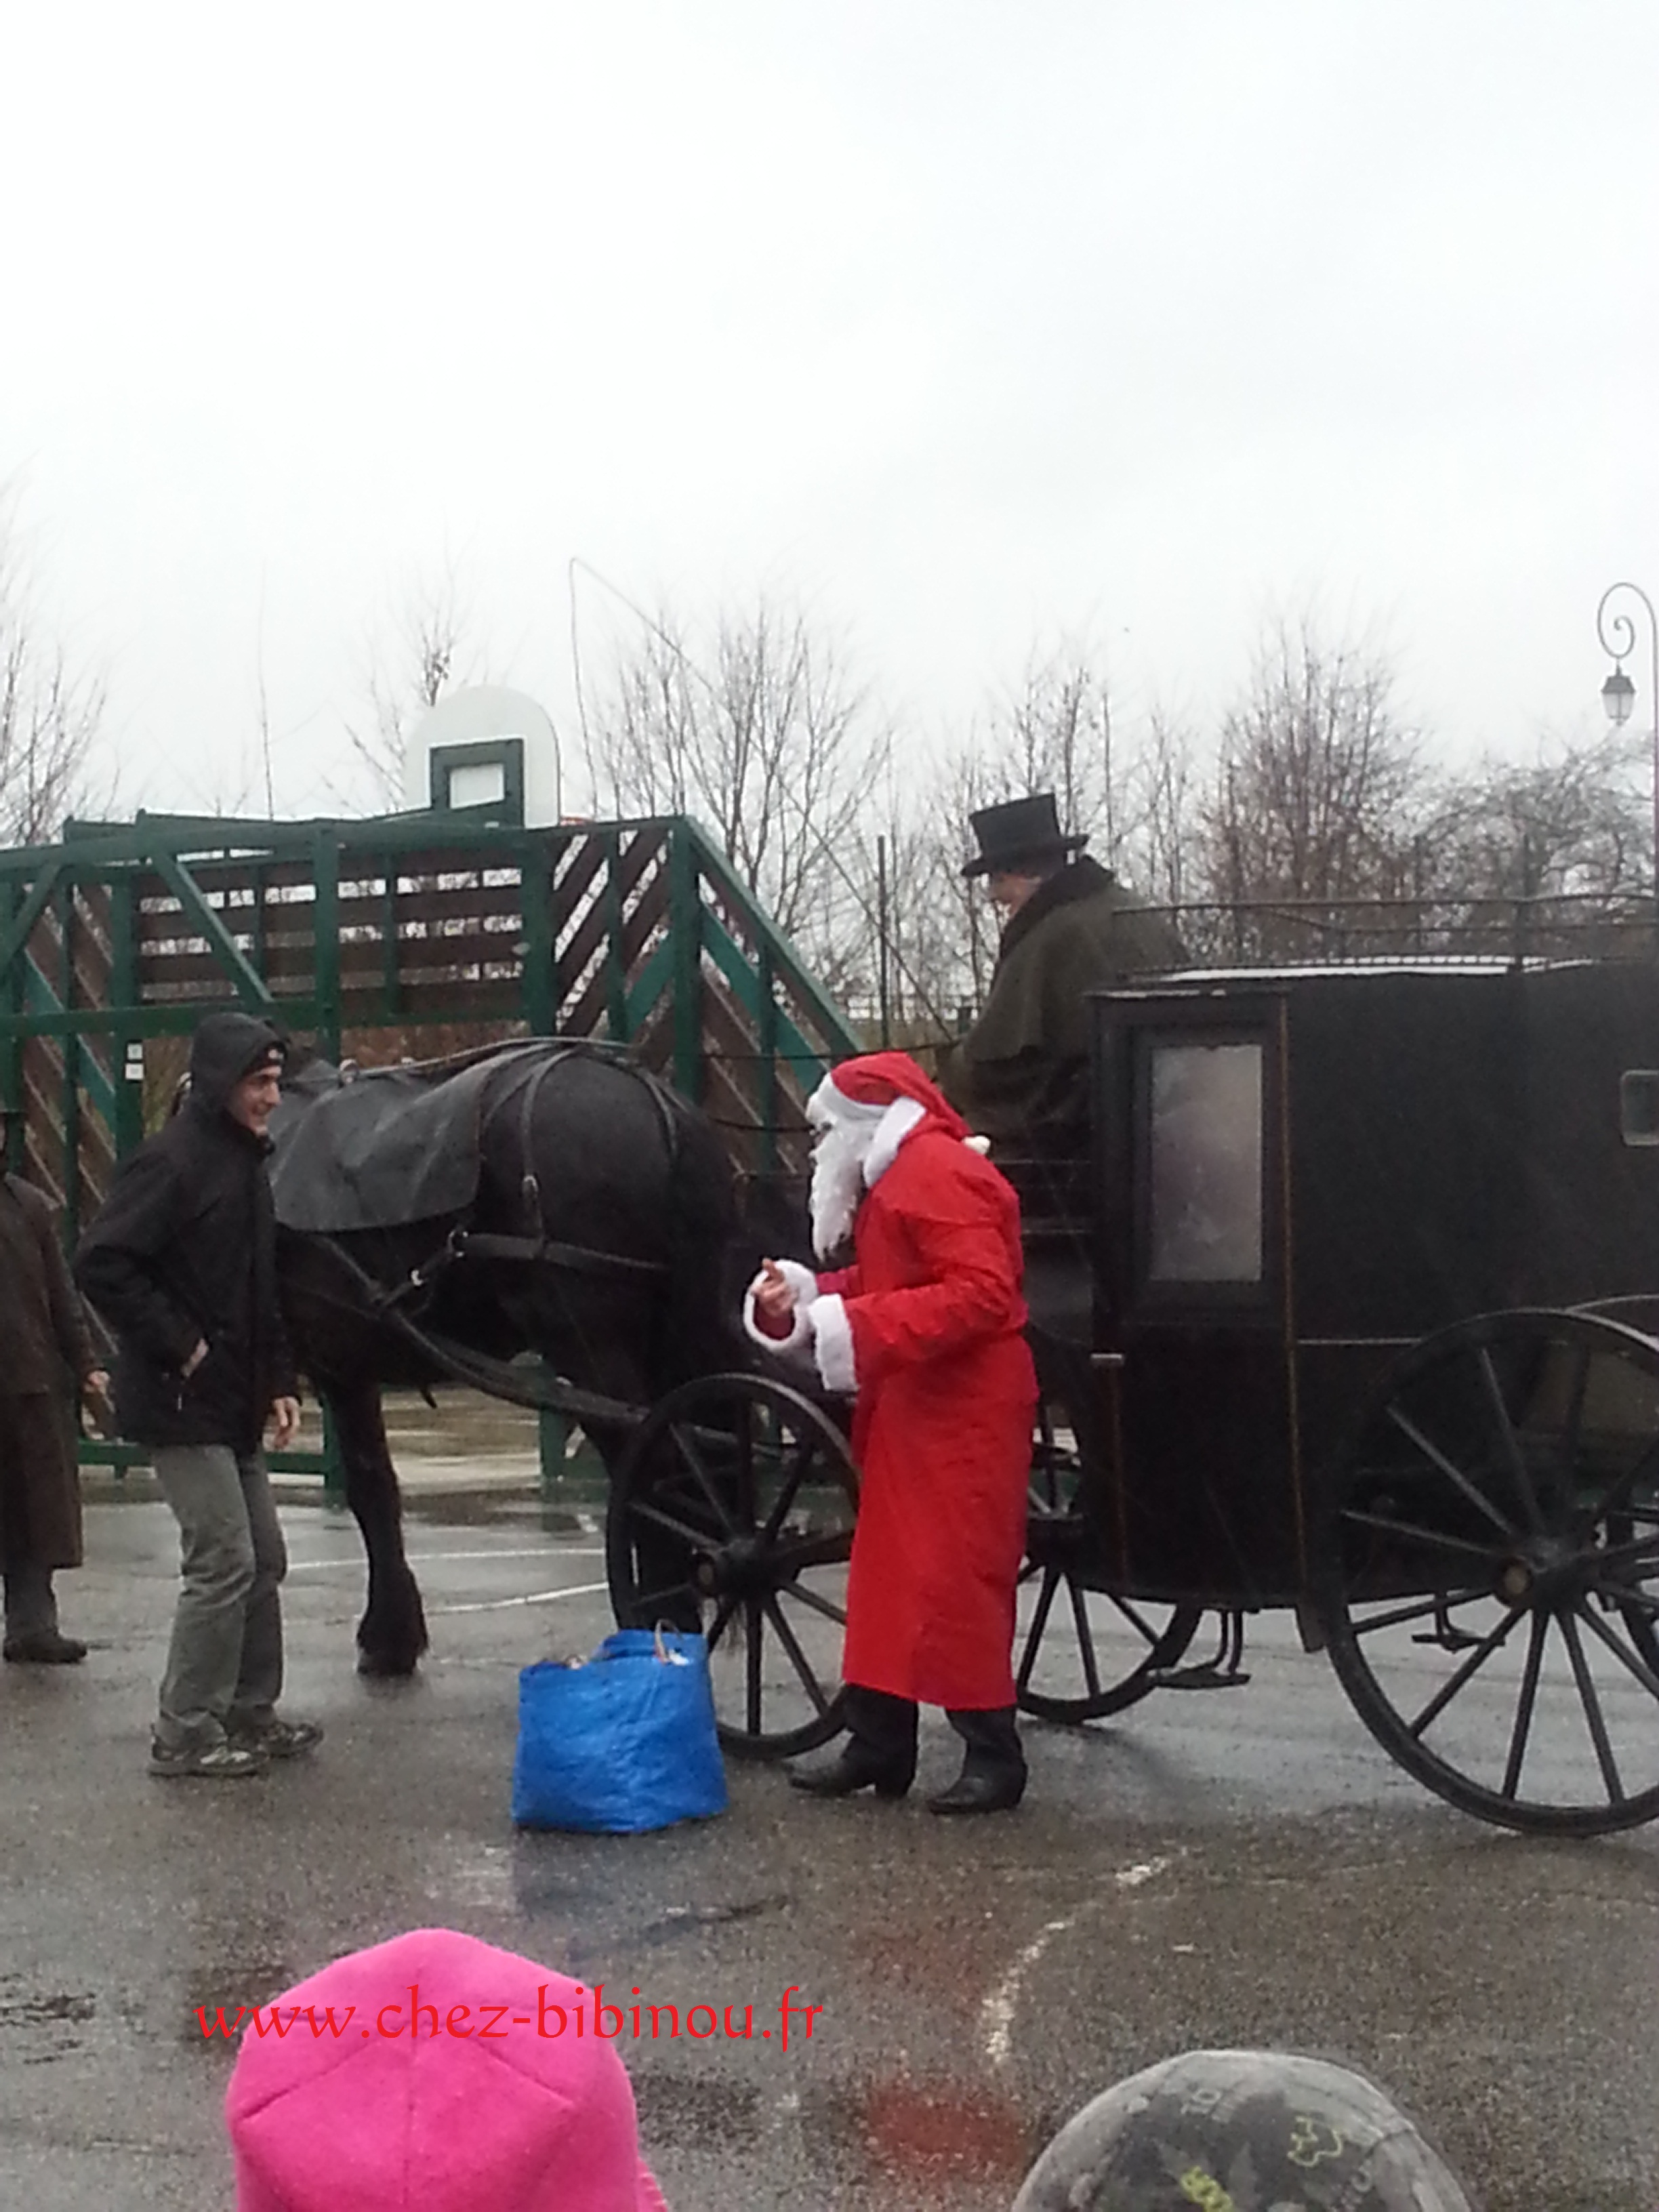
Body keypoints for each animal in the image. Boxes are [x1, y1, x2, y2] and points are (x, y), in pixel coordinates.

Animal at [270, 1048, 739, 1672]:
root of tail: (658, 1105)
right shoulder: (349, 1367)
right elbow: (377, 1489)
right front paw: (395, 1633)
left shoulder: (334, 1367)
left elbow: (360, 1492)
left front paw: (386, 1635)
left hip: (589, 1349)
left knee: (651, 1474)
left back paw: (659, 1630)